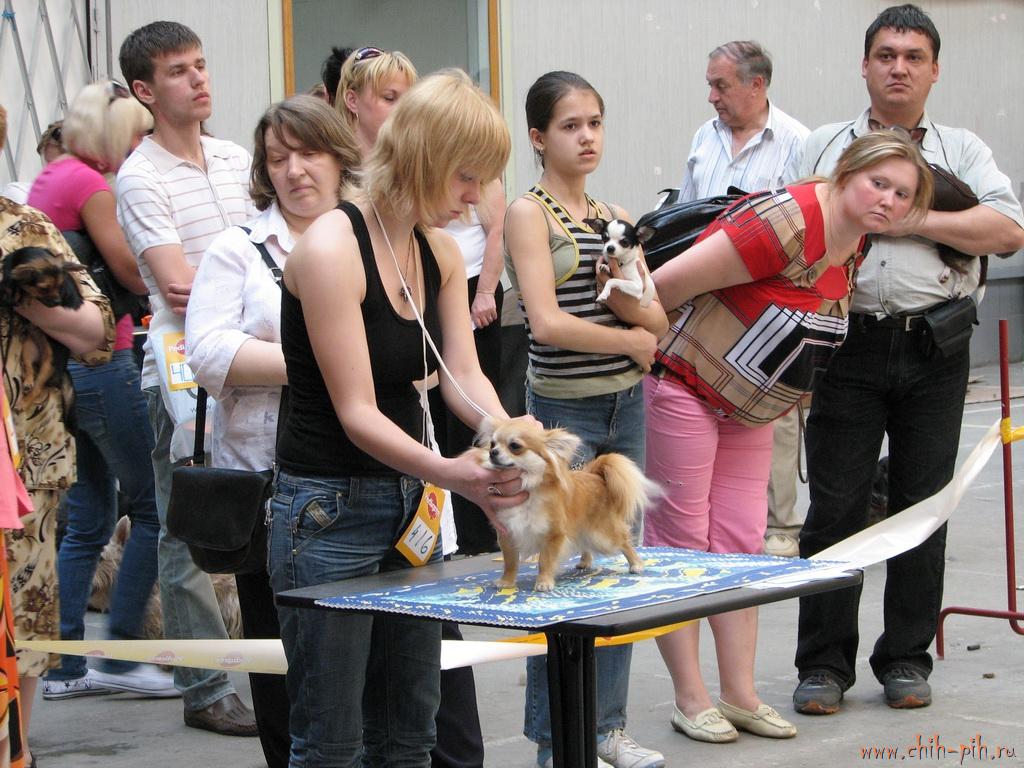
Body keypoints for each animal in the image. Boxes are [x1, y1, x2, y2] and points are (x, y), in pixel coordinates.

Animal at [0, 246, 84, 408]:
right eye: (44, 289)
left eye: (60, 286)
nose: (58, 302)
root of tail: (62, 371)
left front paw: (25, 297)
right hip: (27, 349)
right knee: (29, 368)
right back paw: (28, 382)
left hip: (49, 365)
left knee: (39, 388)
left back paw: (23, 403)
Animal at [469, 416, 657, 591]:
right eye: (493, 444)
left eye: (514, 446)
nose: (492, 452)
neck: (527, 489)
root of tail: (595, 476)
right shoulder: (508, 534)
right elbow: (510, 562)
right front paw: (507, 581)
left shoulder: (553, 534)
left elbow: (544, 561)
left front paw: (544, 582)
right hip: (582, 530)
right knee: (585, 545)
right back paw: (585, 562)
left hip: (601, 535)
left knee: (624, 542)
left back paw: (636, 564)